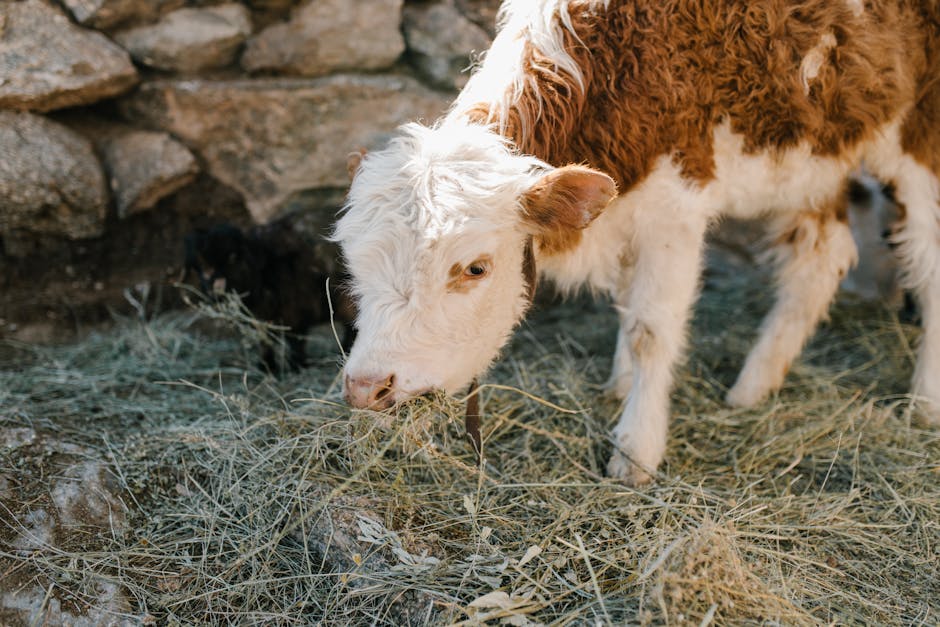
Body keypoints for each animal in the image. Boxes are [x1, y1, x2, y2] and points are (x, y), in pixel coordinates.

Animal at [184, 220, 356, 370]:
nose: (213, 286)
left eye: (233, 258)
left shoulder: (296, 311)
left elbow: (296, 341)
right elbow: (265, 342)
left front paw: (296, 366)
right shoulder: (260, 319)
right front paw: (267, 367)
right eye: (200, 265)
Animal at [336, 0, 940, 486]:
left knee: (927, 263)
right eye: (355, 268)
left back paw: (924, 403)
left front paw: (636, 451)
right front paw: (620, 384)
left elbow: (651, 329)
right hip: (816, 152)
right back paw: (752, 387)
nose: (366, 387)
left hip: (919, 135)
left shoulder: (674, 206)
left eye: (475, 268)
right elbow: (628, 306)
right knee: (823, 257)